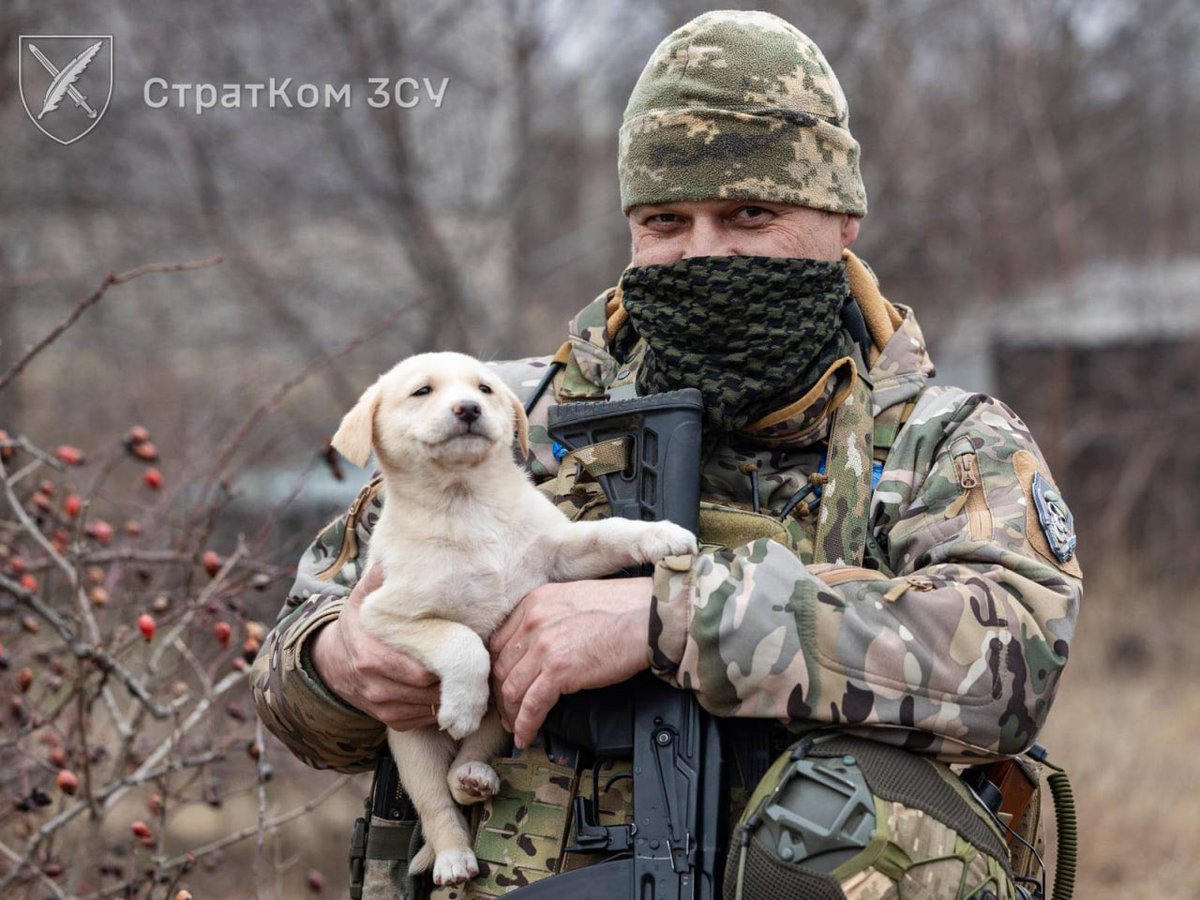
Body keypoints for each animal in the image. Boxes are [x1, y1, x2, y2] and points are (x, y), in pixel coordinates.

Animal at [333, 352, 700, 888]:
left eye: (484, 389)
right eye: (422, 392)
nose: (468, 408)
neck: (467, 504)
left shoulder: (560, 554)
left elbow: (610, 531)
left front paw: (661, 534)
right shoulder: (383, 615)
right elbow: (462, 640)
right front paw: (461, 704)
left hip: (508, 713)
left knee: (467, 765)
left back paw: (474, 776)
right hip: (412, 746)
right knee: (437, 803)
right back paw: (453, 857)